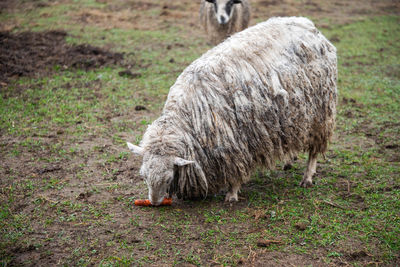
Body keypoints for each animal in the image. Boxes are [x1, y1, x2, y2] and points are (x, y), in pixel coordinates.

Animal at [128, 16, 338, 205]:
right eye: (143, 176)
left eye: (169, 178)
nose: (154, 202)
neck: (189, 117)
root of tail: (308, 24)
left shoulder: (234, 143)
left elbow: (236, 170)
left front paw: (232, 194)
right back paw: (288, 161)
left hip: (321, 113)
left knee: (314, 150)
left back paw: (307, 177)